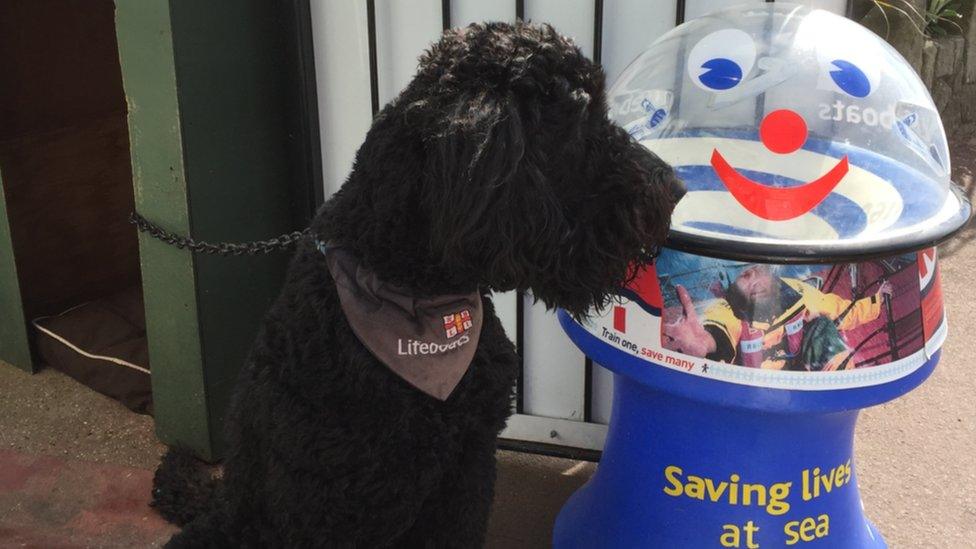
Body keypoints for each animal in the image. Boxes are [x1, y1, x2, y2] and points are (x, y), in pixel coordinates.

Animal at [154, 20, 680, 544]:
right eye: (579, 115)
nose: (674, 188)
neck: (411, 286)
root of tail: (219, 499)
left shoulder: (467, 466)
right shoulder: (323, 504)